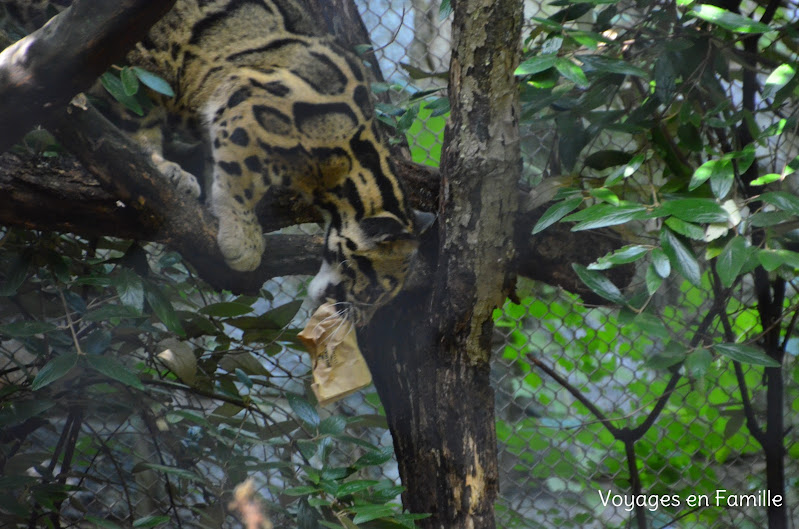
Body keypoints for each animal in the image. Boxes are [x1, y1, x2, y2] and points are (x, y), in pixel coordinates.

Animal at [1, 0, 438, 324]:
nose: (358, 322)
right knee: (136, 122)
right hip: (143, 63)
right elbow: (239, 178)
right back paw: (165, 168)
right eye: (375, 289)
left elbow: (219, 163)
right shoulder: (246, 101)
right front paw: (242, 239)